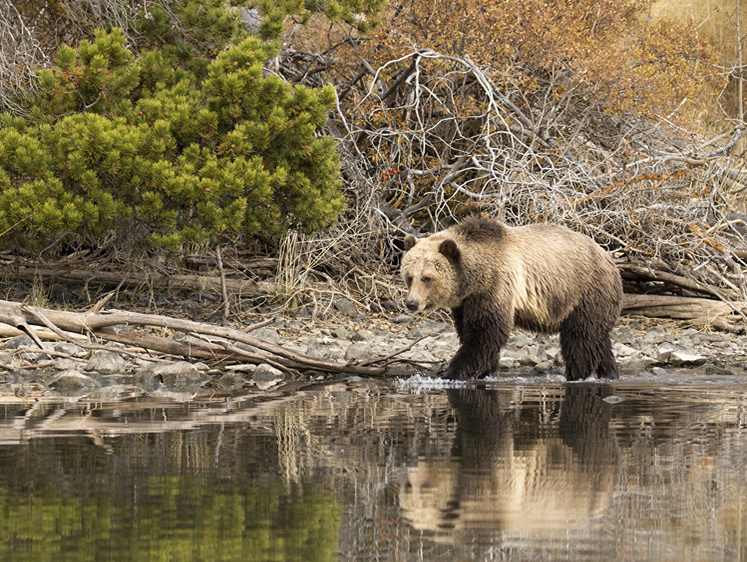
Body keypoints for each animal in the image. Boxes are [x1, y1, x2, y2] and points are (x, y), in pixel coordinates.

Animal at [404, 217, 624, 378]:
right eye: (409, 276)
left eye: (427, 278)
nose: (412, 303)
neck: (474, 278)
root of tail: (608, 255)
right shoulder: (466, 302)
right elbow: (468, 330)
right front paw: (485, 369)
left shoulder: (495, 286)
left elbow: (485, 333)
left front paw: (453, 372)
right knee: (598, 338)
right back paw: (609, 372)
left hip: (585, 291)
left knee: (580, 338)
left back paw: (578, 373)